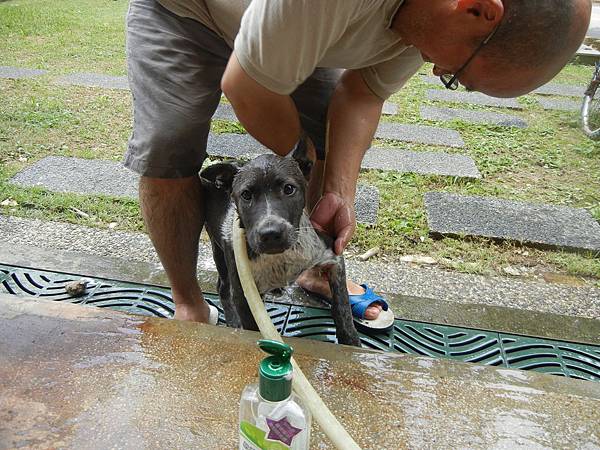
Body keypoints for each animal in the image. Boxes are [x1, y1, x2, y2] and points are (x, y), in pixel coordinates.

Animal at [200, 141, 360, 344]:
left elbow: (342, 305)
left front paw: (351, 340)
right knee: (222, 287)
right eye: (246, 195)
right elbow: (254, 329)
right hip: (220, 251)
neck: (281, 256)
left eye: (289, 189)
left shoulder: (333, 257)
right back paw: (232, 320)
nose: (270, 234)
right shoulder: (245, 299)